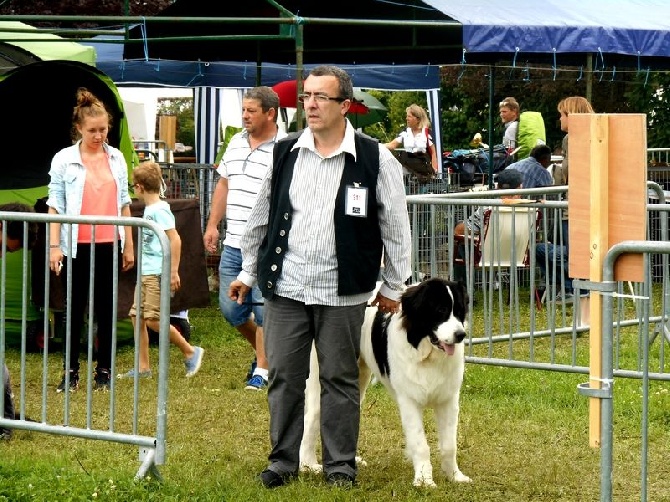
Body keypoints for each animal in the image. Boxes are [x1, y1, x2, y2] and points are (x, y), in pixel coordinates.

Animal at [300, 278, 472, 486]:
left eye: (459, 312)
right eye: (441, 310)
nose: (460, 335)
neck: (425, 353)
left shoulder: (448, 399)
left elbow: (449, 445)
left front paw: (455, 476)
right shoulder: (409, 400)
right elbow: (420, 444)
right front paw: (424, 481)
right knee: (312, 417)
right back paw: (308, 465)